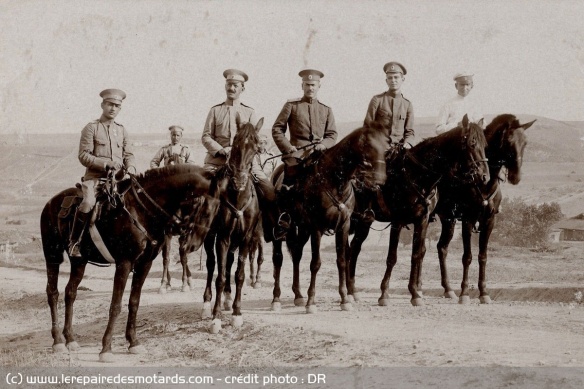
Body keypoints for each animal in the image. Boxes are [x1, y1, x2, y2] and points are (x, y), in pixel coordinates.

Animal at [40, 164, 220, 360]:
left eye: (216, 211)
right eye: (206, 211)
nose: (193, 244)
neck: (141, 211)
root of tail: (50, 203)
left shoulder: (144, 264)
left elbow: (134, 302)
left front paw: (133, 342)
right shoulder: (124, 263)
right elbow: (116, 305)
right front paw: (106, 348)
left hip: (79, 261)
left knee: (70, 292)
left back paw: (70, 339)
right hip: (52, 256)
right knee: (53, 293)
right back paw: (58, 341)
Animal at [196, 113, 262, 332]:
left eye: (257, 146)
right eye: (235, 143)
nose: (239, 181)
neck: (238, 198)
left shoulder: (245, 239)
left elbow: (239, 274)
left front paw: (237, 313)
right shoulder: (223, 237)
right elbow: (219, 275)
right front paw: (216, 318)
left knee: (229, 264)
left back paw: (226, 299)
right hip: (210, 237)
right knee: (211, 265)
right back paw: (207, 305)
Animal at [270, 124, 390, 312]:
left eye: (386, 146)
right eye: (369, 145)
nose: (380, 179)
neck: (334, 182)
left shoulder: (343, 226)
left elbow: (342, 260)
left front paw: (344, 299)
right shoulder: (317, 228)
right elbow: (315, 263)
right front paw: (311, 302)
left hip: (303, 229)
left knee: (296, 254)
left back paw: (298, 295)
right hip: (279, 228)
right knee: (278, 259)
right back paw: (276, 299)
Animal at [350, 113, 490, 304]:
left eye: (485, 145)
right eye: (472, 143)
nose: (485, 176)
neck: (416, 176)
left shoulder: (422, 220)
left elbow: (416, 254)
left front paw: (415, 293)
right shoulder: (397, 221)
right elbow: (392, 257)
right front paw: (384, 294)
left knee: (354, 247)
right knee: (353, 248)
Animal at [432, 113, 536, 302]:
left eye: (525, 142)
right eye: (509, 141)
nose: (516, 177)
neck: (483, 183)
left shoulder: (489, 221)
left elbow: (483, 256)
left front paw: (484, 293)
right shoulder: (468, 219)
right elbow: (467, 257)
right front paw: (465, 294)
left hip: (448, 220)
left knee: (442, 248)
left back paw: (448, 289)